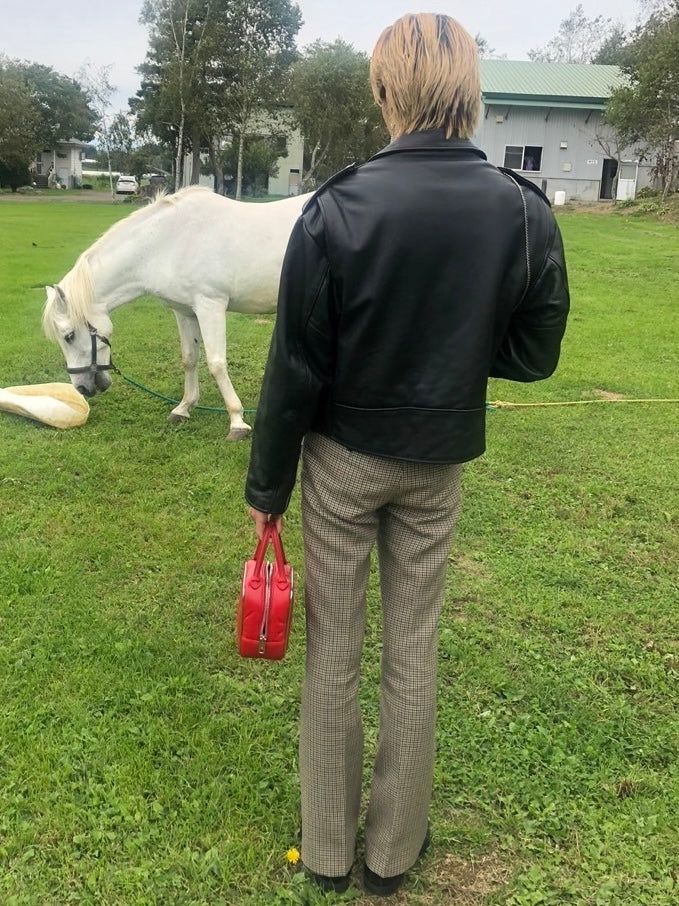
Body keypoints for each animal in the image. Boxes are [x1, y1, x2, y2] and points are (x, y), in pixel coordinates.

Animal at [41, 185, 310, 438]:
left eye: (68, 336)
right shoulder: (185, 312)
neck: (168, 243)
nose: (82, 388)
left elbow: (216, 363)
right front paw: (183, 408)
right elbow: (189, 358)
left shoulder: (210, 306)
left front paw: (237, 421)